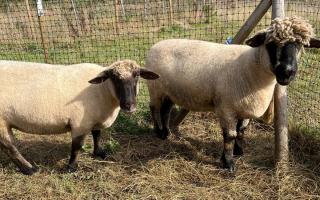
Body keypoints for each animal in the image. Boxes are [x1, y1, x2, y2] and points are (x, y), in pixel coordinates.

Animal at [0, 58, 159, 174]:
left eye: (137, 75)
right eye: (113, 78)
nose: (129, 105)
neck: (102, 90)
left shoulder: (94, 119)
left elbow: (97, 135)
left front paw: (99, 152)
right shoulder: (80, 124)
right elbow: (76, 146)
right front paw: (71, 168)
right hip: (1, 121)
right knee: (9, 146)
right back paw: (29, 169)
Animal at [146, 16, 320, 171]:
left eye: (300, 45)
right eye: (270, 44)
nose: (287, 72)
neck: (252, 66)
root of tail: (156, 44)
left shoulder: (245, 107)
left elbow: (241, 131)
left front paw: (238, 151)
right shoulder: (226, 108)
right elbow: (230, 136)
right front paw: (228, 163)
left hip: (169, 91)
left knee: (166, 110)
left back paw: (167, 133)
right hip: (155, 88)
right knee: (154, 108)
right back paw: (158, 132)